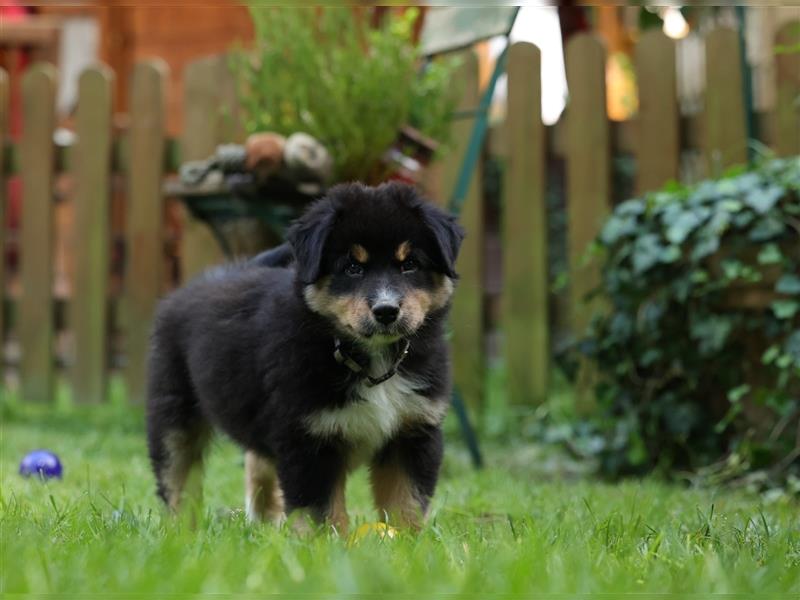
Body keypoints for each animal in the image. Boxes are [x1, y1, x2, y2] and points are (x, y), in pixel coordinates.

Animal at [147, 179, 466, 528]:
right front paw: (331, 542)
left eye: (409, 264)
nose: (386, 310)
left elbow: (405, 503)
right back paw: (182, 530)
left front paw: (406, 540)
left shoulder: (412, 430)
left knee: (257, 463)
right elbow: (322, 512)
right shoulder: (308, 438)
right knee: (177, 476)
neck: (367, 360)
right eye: (352, 267)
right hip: (175, 410)